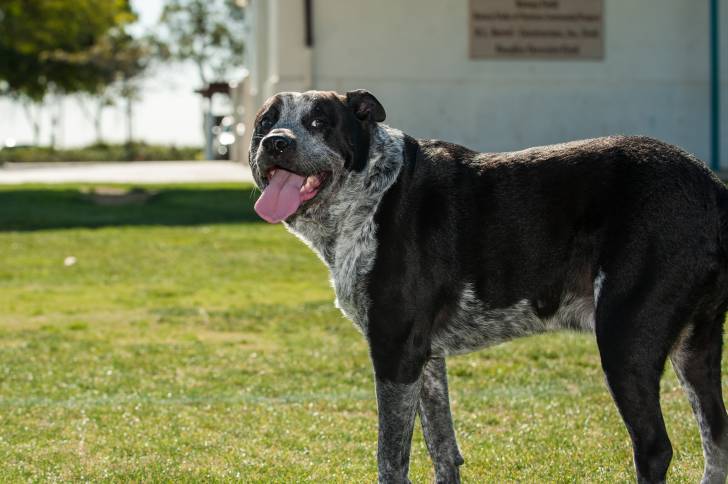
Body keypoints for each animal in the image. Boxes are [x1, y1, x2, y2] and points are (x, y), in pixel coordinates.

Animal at [247, 89, 728, 482]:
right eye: (264, 123)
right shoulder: (425, 357)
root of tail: (711, 185)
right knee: (717, 437)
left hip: (625, 341)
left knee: (655, 449)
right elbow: (442, 448)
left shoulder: (394, 352)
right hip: (695, 348)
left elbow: (391, 458)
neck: (370, 193)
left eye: (319, 122)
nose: (277, 143)